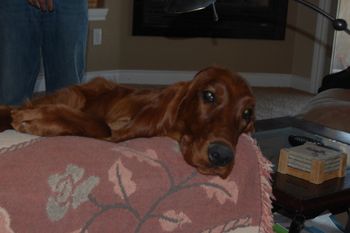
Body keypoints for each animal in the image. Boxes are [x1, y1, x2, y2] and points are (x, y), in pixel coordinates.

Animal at [0, 66, 254, 179]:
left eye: (247, 113)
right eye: (209, 95)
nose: (222, 155)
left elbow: (99, 125)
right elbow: (100, 124)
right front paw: (37, 117)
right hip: (77, 94)